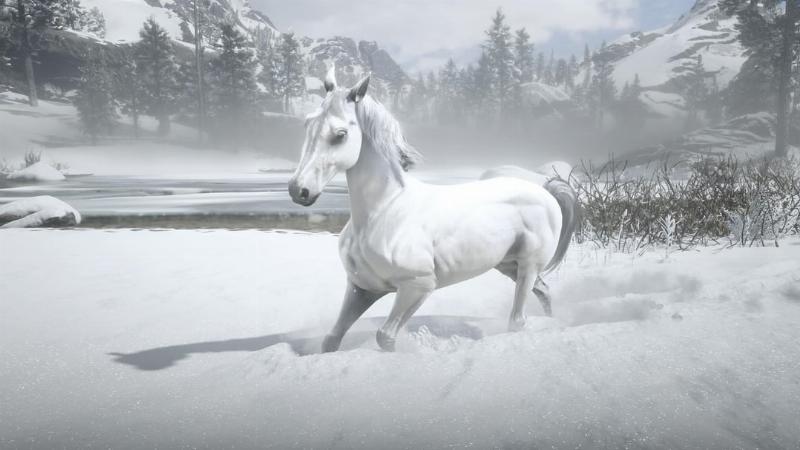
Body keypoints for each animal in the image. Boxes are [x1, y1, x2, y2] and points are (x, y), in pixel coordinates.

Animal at [288, 67, 579, 352]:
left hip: (528, 266)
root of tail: (546, 190)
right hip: (509, 265)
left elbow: (385, 337)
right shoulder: (362, 288)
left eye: (340, 135)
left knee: (517, 320)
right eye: (307, 124)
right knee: (544, 292)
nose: (298, 190)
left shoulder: (418, 285)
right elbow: (331, 340)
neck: (384, 210)